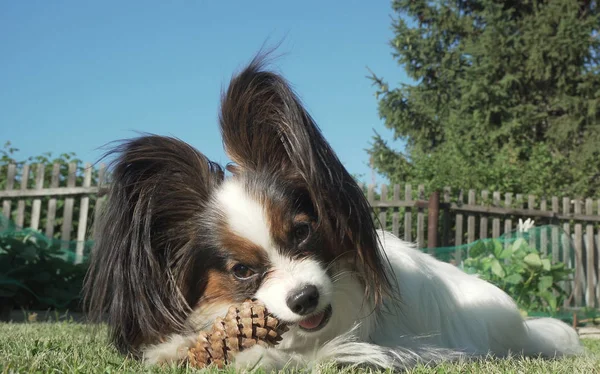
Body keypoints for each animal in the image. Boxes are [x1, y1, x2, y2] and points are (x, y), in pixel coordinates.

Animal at [83, 53, 580, 372]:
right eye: (242, 270)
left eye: (303, 232)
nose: (304, 298)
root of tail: (526, 327)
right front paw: (176, 347)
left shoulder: (391, 345)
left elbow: (305, 354)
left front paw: (253, 355)